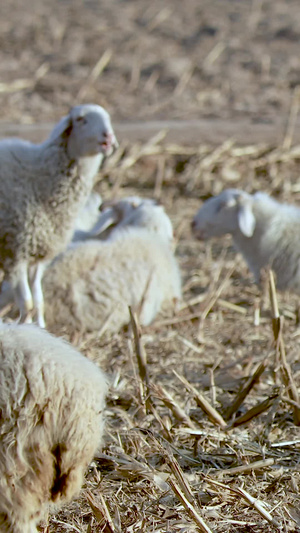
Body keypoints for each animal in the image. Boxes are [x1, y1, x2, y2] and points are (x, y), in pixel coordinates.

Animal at [0, 103, 118, 328]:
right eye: (81, 120)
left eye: (108, 118)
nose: (108, 136)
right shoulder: (16, 251)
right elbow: (27, 303)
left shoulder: (37, 253)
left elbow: (38, 301)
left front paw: (40, 327)